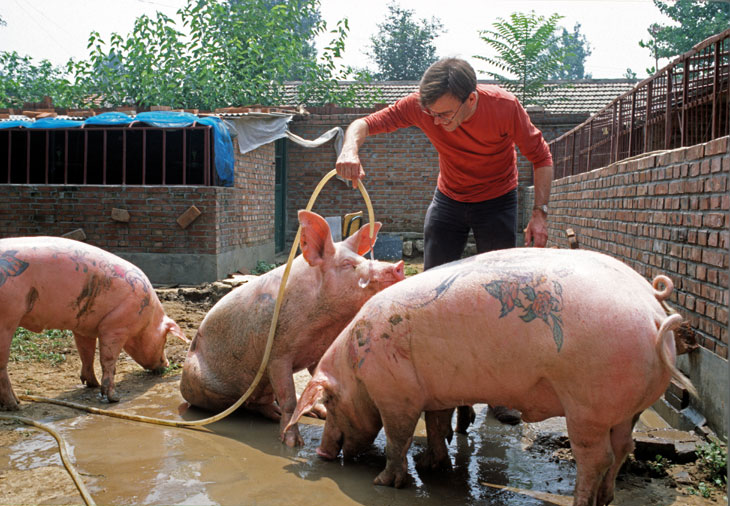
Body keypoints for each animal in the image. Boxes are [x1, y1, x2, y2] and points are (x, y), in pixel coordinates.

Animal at [0, 235, 185, 410]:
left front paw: (92, 385)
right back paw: (14, 406)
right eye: (165, 339)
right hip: (7, 319)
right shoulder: (115, 327)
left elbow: (86, 353)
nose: (167, 363)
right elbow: (108, 360)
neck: (148, 318)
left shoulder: (83, 327)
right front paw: (113, 398)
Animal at [177, 210, 404, 446]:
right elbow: (287, 397)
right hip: (212, 389)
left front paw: (323, 415)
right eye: (347, 264)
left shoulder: (319, 350)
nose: (398, 266)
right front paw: (293, 444)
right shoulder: (277, 354)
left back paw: (315, 414)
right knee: (252, 405)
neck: (324, 323)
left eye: (363, 259)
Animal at [288, 248, 692, 506]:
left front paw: (383, 483)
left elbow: (396, 440)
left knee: (598, 457)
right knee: (624, 447)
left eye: (330, 402)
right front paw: (431, 465)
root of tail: (654, 314)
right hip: (626, 409)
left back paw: (582, 503)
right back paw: (606, 499)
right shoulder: (437, 392)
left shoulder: (397, 395)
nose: (321, 453)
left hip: (587, 405)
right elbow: (435, 424)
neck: (357, 365)